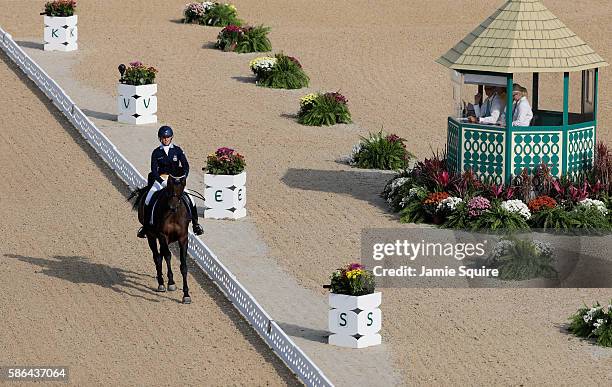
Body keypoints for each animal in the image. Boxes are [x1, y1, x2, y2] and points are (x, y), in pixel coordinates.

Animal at [126, 176, 189, 306]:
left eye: (181, 188)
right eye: (169, 187)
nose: (173, 207)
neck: (173, 215)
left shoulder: (183, 238)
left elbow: (183, 265)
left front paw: (186, 295)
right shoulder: (162, 236)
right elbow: (168, 256)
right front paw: (171, 283)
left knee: (161, 255)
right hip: (151, 235)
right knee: (157, 257)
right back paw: (161, 283)